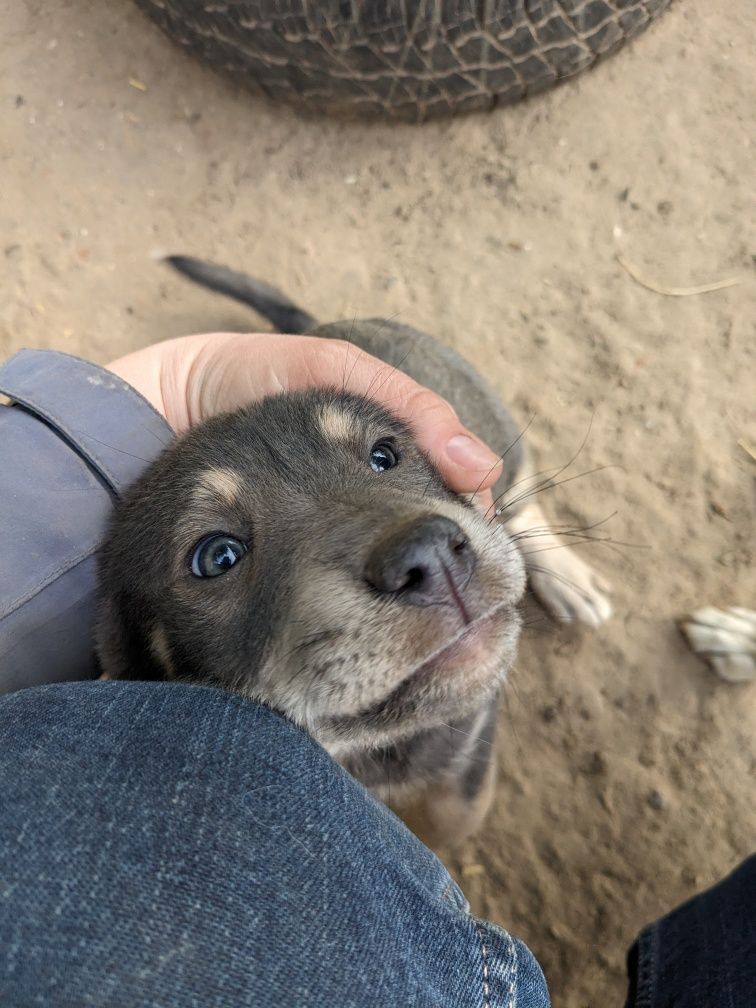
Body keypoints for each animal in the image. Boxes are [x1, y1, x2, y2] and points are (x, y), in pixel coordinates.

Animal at [94, 258, 612, 842]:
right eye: (217, 557)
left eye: (384, 455)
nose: (430, 554)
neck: (374, 753)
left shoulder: (469, 746)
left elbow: (451, 818)